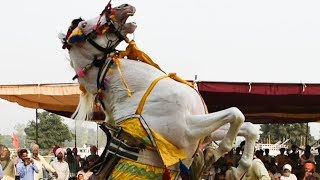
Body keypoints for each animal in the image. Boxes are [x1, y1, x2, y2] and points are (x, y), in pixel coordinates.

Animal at [60, 2, 258, 180]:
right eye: (84, 25)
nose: (124, 7)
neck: (135, 91)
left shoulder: (205, 132)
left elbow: (248, 127)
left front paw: (238, 169)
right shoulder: (187, 130)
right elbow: (235, 114)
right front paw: (214, 155)